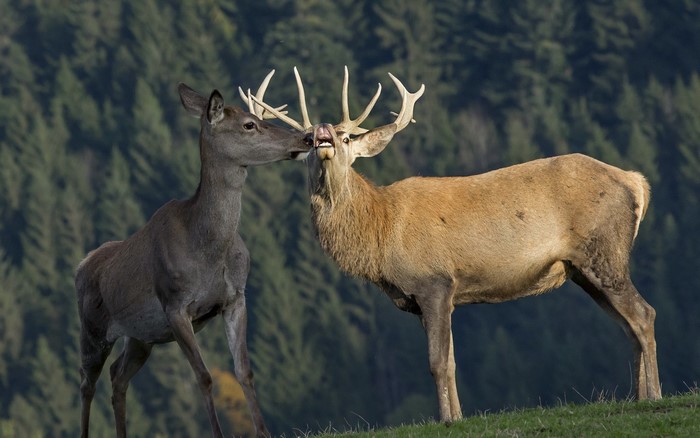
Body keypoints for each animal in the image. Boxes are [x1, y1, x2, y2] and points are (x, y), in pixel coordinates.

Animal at [75, 72, 309, 438]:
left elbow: (245, 372)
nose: (306, 138)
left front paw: (264, 432)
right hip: (92, 327)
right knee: (86, 382)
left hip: (141, 336)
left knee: (117, 376)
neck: (209, 250)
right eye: (249, 125)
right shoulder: (174, 305)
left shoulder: (235, 297)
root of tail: (81, 265)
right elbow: (204, 376)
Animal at [250, 66, 662, 423]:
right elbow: (448, 361)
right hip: (583, 270)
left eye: (347, 137)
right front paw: (457, 416)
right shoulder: (424, 298)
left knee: (644, 314)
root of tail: (636, 182)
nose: (322, 132)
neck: (381, 235)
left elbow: (437, 362)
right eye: (307, 141)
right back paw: (636, 396)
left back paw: (654, 396)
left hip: (604, 250)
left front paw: (447, 419)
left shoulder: (435, 282)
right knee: (627, 325)